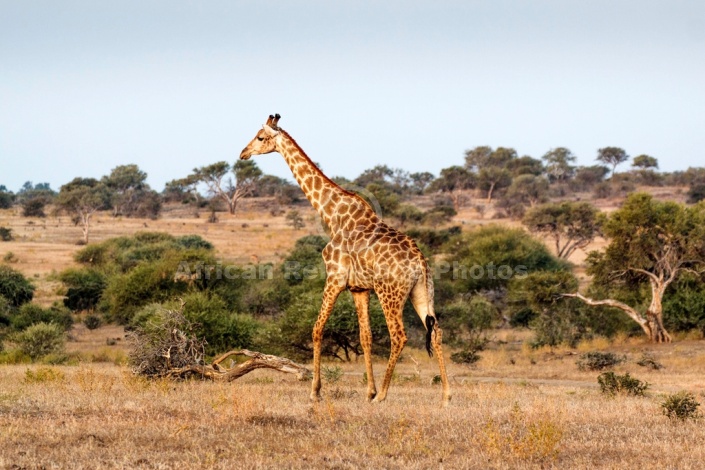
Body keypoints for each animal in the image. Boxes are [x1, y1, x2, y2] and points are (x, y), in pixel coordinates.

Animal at [242, 114, 452, 404]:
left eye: (260, 137)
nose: (243, 153)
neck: (332, 214)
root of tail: (420, 263)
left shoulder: (335, 278)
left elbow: (317, 329)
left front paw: (315, 392)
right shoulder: (359, 288)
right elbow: (365, 337)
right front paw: (368, 391)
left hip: (390, 293)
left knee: (399, 336)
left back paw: (383, 395)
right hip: (421, 291)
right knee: (437, 332)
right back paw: (445, 396)